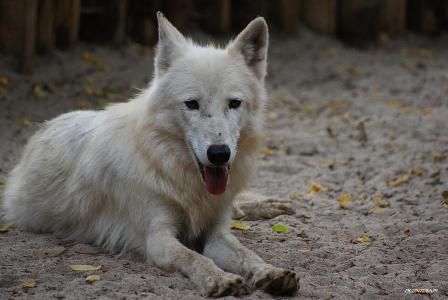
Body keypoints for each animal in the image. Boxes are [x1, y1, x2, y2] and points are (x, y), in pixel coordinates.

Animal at [3, 12, 300, 298]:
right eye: (192, 104)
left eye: (234, 103)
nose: (219, 154)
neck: (179, 178)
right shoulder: (158, 238)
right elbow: (194, 258)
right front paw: (219, 280)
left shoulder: (216, 234)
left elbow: (247, 254)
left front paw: (270, 273)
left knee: (239, 208)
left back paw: (274, 205)